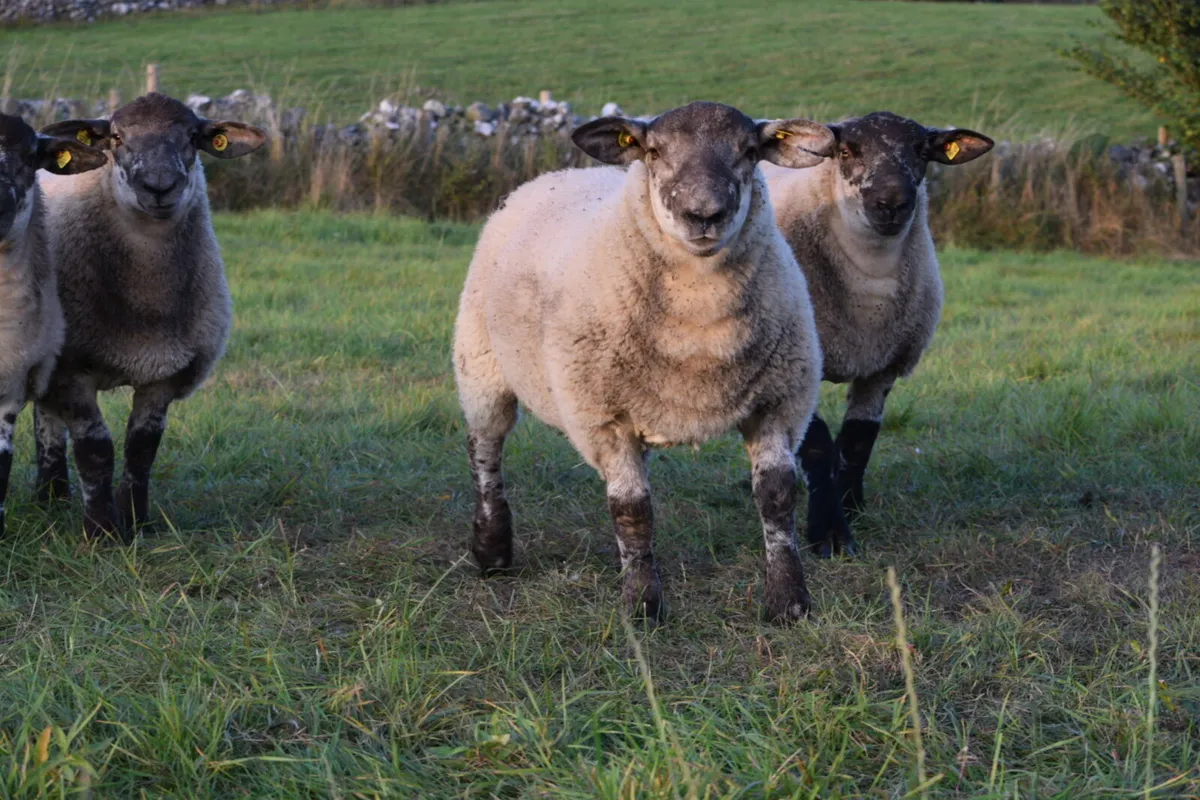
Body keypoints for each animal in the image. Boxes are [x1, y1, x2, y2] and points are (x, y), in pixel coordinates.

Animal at [35, 93, 266, 540]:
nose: (159, 187)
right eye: (116, 137)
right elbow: (95, 450)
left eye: (193, 137)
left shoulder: (166, 373)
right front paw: (102, 532)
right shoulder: (72, 371)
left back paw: (52, 497)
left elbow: (141, 449)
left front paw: (137, 522)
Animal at [454, 101, 835, 624]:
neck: (700, 327)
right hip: (481, 364)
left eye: (749, 150)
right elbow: (632, 510)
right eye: (654, 152)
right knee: (485, 450)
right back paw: (491, 548)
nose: (703, 214)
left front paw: (788, 601)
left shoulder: (779, 401)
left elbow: (777, 497)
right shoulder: (604, 417)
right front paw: (642, 607)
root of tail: (554, 175)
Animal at [760, 111, 993, 557]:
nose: (891, 203)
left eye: (921, 150)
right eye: (847, 151)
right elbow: (817, 444)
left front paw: (852, 506)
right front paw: (829, 533)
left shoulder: (885, 364)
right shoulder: (801, 362)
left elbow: (858, 441)